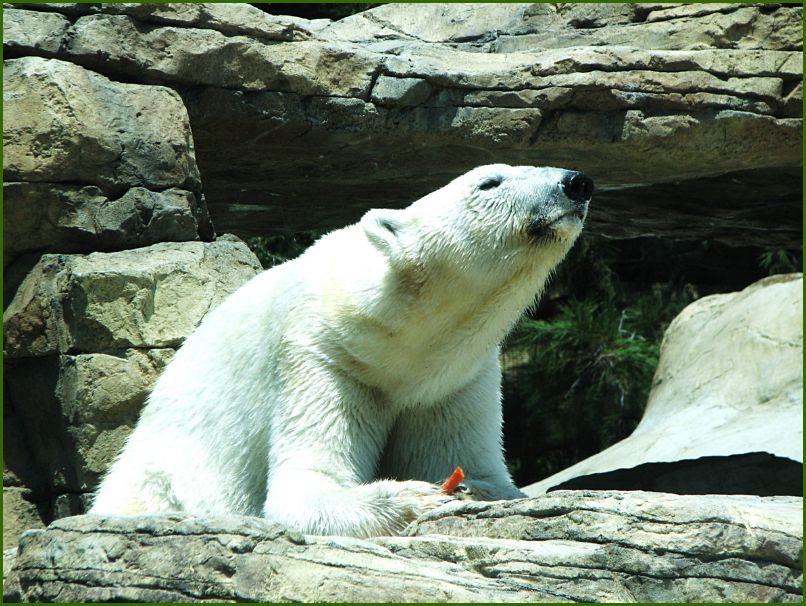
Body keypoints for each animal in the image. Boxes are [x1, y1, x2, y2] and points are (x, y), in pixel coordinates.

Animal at [91, 164, 596, 540]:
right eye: (489, 182)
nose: (576, 182)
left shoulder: (455, 379)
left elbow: (469, 462)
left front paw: (474, 488)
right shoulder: (321, 354)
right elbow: (306, 484)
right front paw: (410, 496)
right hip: (155, 476)